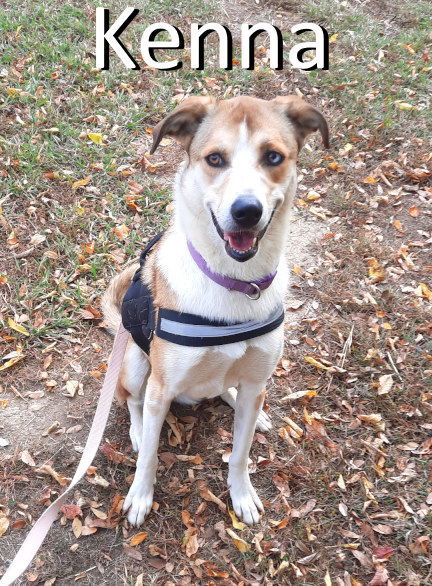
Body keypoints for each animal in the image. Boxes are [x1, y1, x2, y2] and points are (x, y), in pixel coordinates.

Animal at [101, 93, 330, 524]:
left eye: (273, 157)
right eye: (215, 159)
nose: (247, 211)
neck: (235, 282)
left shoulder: (257, 379)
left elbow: (240, 454)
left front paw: (241, 494)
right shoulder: (160, 387)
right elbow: (151, 456)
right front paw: (140, 495)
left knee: (229, 391)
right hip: (136, 364)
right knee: (131, 401)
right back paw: (137, 431)